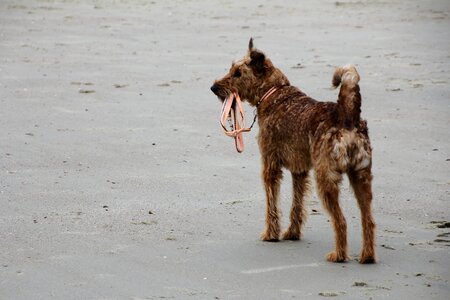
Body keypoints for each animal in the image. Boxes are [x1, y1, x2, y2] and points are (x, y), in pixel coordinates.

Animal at [211, 38, 376, 262]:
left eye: (238, 73)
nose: (213, 87)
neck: (274, 92)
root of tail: (347, 115)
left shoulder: (270, 166)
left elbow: (272, 204)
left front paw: (271, 234)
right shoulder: (300, 170)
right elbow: (296, 204)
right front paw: (292, 233)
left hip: (326, 178)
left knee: (341, 220)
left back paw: (339, 255)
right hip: (361, 176)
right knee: (368, 220)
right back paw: (367, 256)